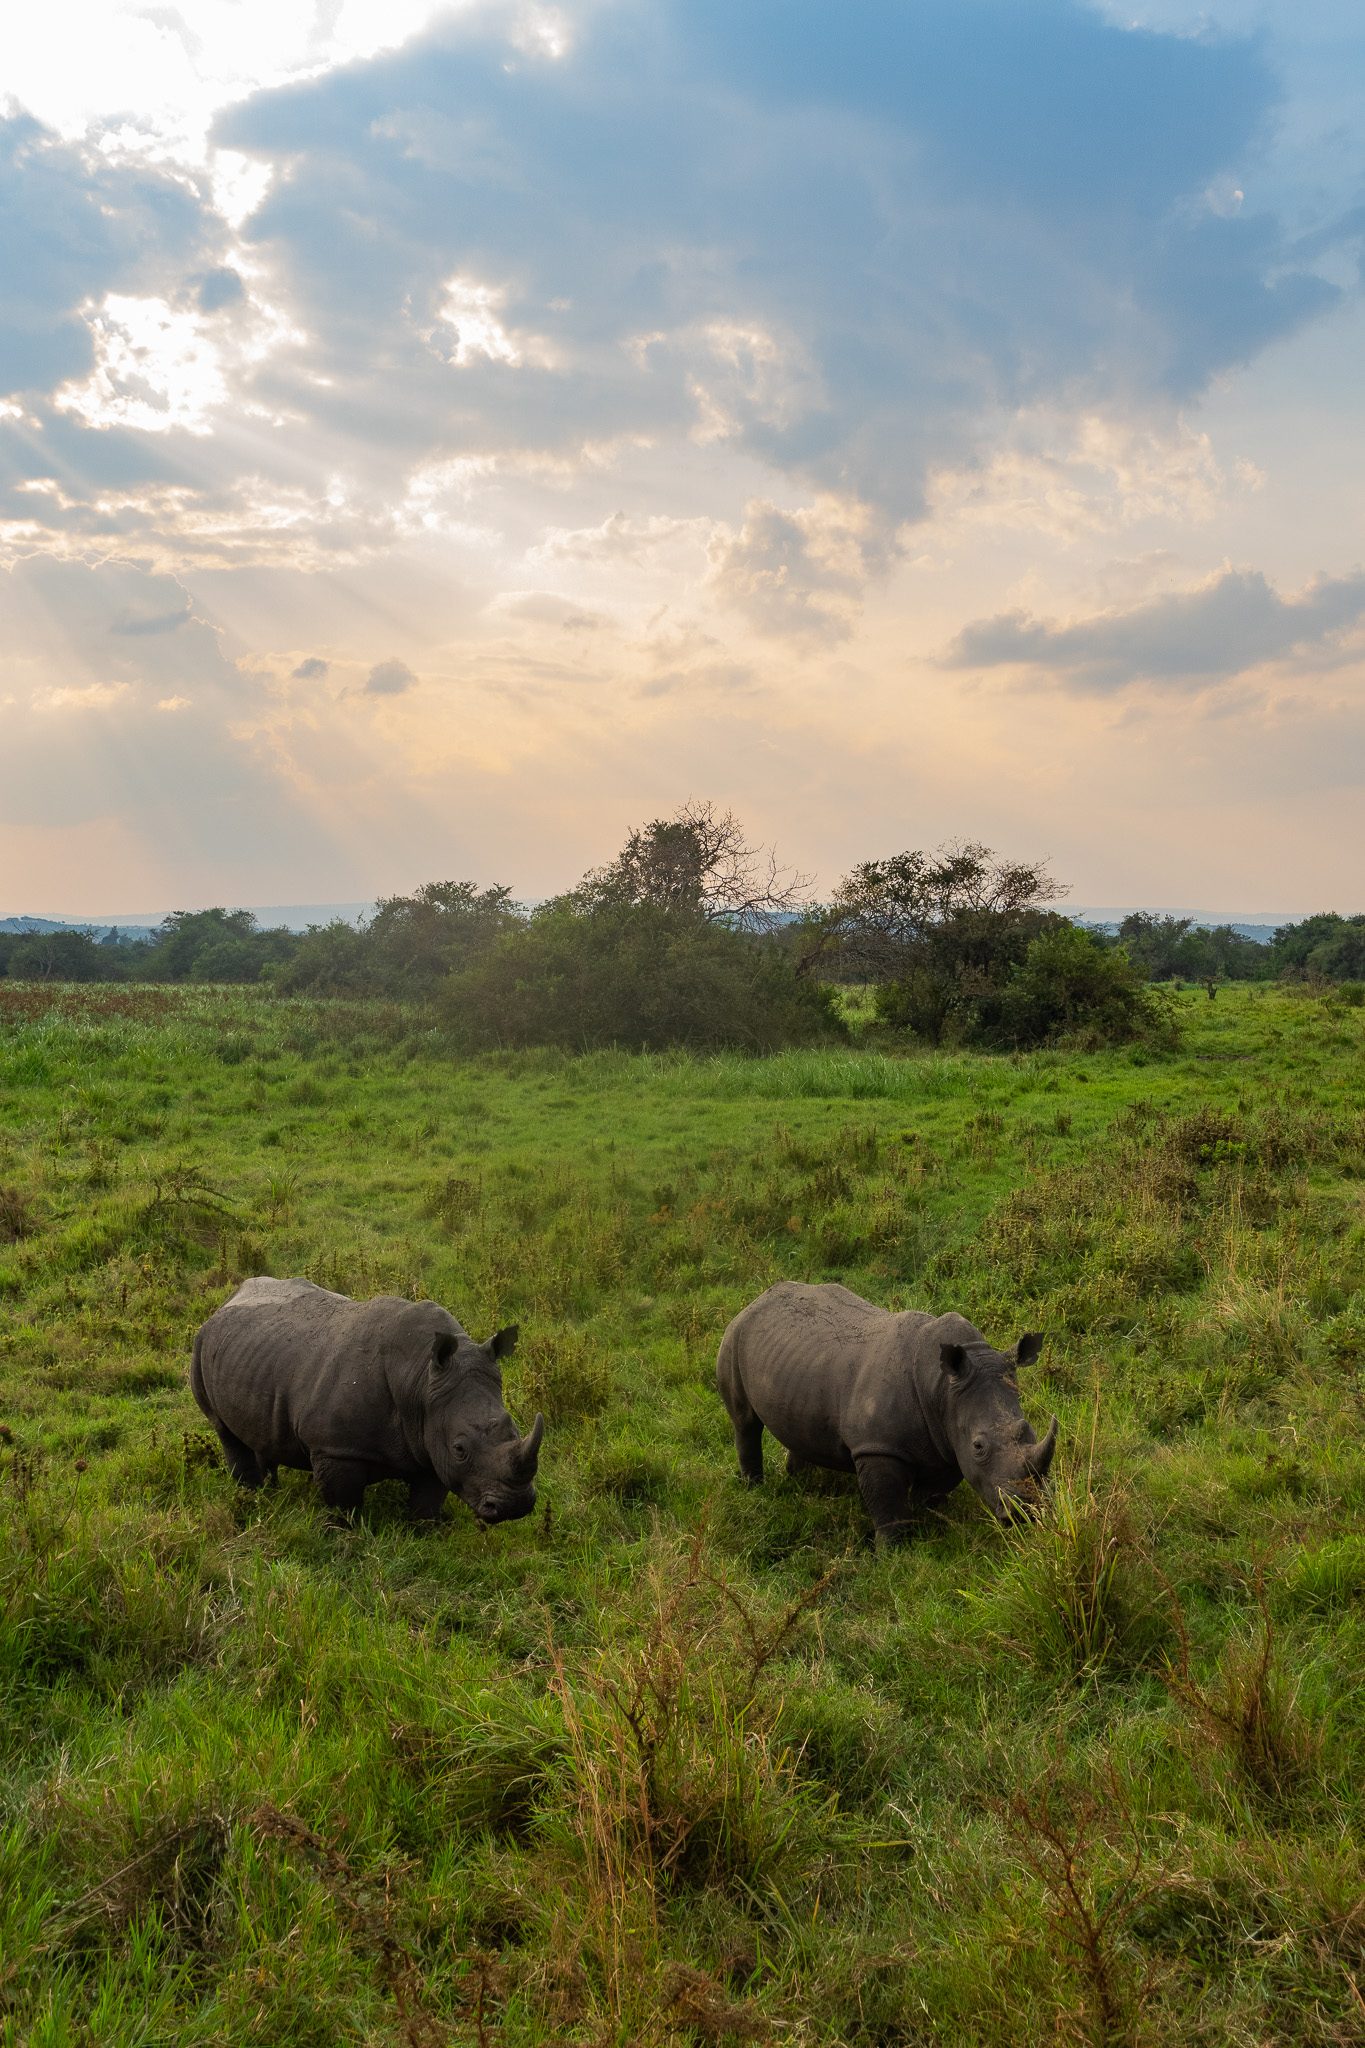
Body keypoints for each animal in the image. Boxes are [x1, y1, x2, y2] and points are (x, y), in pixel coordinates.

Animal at [192, 1277, 543, 1526]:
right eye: (460, 1448)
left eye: (514, 1429)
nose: (516, 1506)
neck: (419, 1379)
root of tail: (226, 1300)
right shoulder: (335, 1447)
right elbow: (343, 1503)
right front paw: (344, 1536)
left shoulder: (432, 1437)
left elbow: (427, 1501)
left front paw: (425, 1533)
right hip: (200, 1345)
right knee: (223, 1429)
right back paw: (251, 1497)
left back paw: (269, 1491)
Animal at [716, 1281, 1057, 1545]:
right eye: (979, 1446)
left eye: (1029, 1431)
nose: (1026, 1512)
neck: (942, 1388)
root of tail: (758, 1299)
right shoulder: (877, 1446)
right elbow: (887, 1503)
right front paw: (893, 1551)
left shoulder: (948, 1442)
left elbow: (932, 1490)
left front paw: (928, 1521)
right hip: (734, 1336)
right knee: (744, 1422)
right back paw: (754, 1490)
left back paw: (798, 1482)